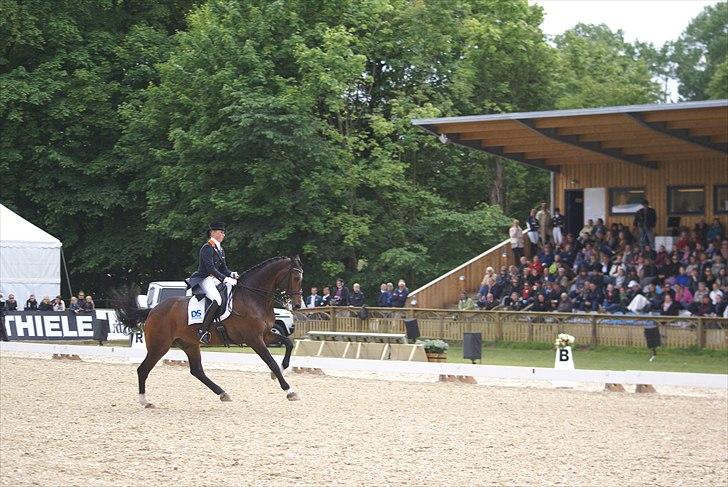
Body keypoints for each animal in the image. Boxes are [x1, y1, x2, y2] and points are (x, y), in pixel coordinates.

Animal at [114, 255, 302, 408]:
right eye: (295, 277)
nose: (297, 305)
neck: (253, 298)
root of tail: (153, 310)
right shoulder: (254, 339)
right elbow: (271, 362)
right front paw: (289, 391)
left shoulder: (266, 335)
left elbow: (288, 343)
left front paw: (279, 371)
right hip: (159, 346)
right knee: (143, 369)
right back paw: (145, 401)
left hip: (189, 344)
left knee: (197, 370)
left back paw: (223, 393)